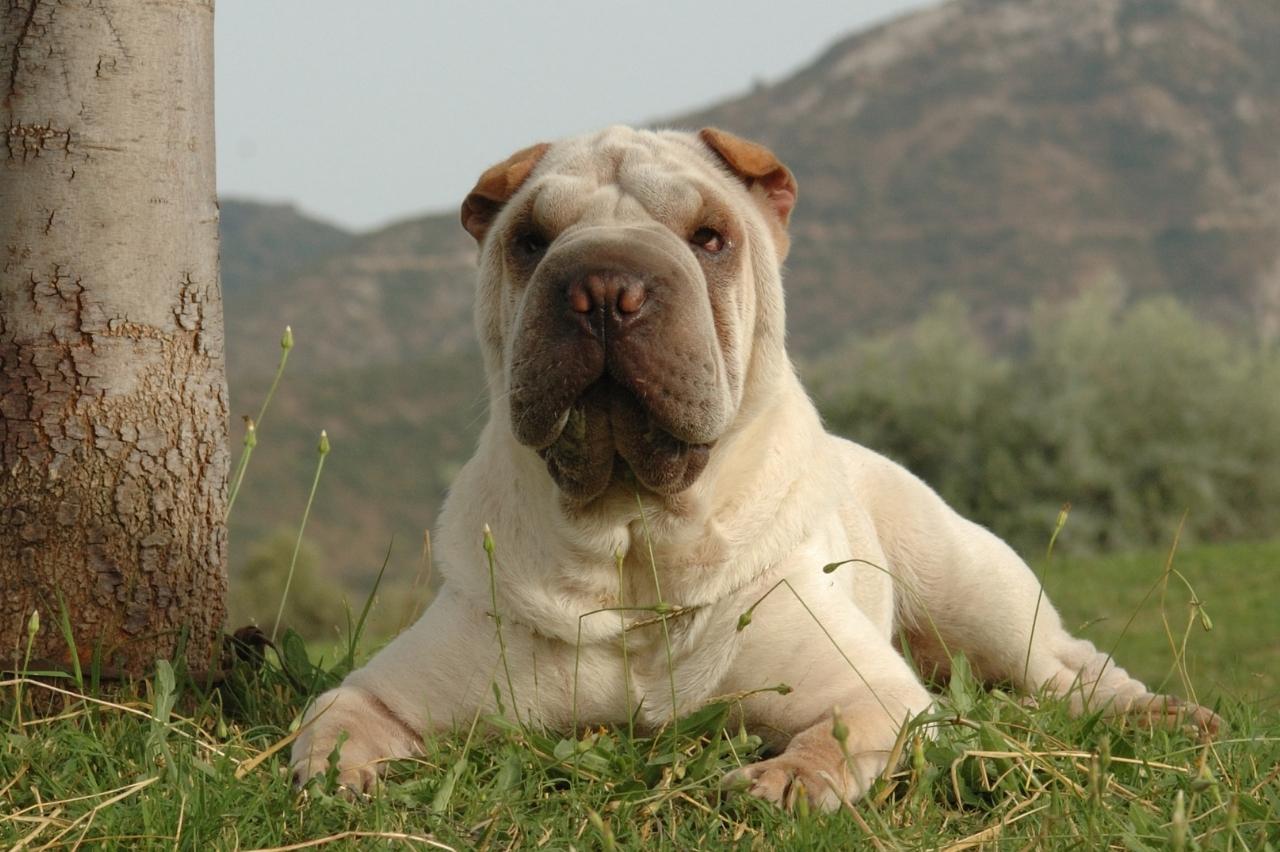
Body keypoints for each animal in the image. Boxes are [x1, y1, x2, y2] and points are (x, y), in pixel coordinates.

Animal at [290, 122, 1218, 808]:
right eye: (529, 241)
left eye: (710, 238)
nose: (603, 287)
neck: (633, 540)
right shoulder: (386, 690)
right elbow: (334, 725)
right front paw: (341, 778)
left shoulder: (870, 693)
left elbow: (833, 739)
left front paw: (781, 783)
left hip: (976, 597)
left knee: (1071, 671)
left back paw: (1163, 717)